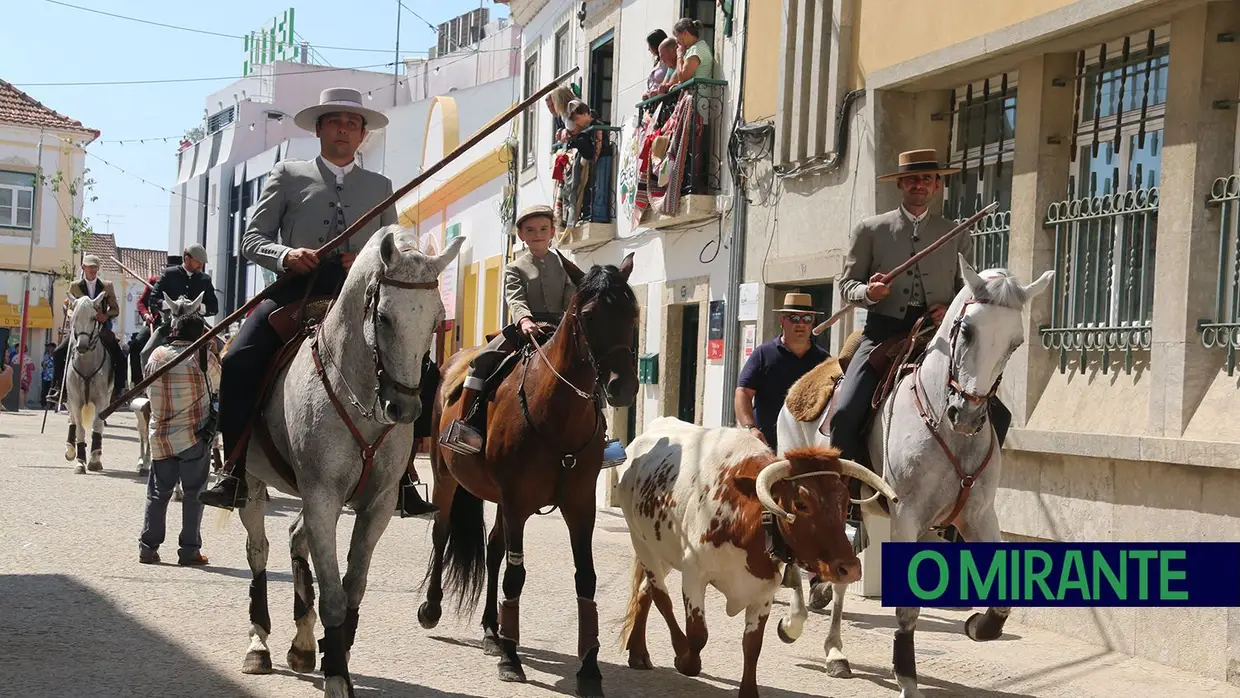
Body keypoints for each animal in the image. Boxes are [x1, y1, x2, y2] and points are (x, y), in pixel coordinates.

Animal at [64, 292, 116, 473]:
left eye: (94, 318)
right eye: (74, 318)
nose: (82, 346)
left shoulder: (102, 401)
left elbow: (97, 426)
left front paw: (94, 459)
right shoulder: (75, 401)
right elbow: (79, 429)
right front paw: (80, 461)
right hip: (69, 401)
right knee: (72, 421)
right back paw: (70, 450)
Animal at [234, 226, 463, 694]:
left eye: (436, 320)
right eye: (385, 318)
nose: (403, 409)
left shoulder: (377, 504)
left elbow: (353, 586)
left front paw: (333, 651)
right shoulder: (322, 497)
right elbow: (335, 596)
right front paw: (337, 674)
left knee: (295, 538)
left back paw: (303, 643)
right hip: (251, 481)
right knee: (258, 551)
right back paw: (259, 643)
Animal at [421, 252, 644, 698]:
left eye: (632, 313)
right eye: (589, 315)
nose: (622, 387)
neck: (556, 414)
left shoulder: (579, 506)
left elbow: (586, 580)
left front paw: (589, 669)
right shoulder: (517, 502)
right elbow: (515, 575)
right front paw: (511, 659)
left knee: (491, 548)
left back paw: (492, 631)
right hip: (446, 478)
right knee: (442, 532)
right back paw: (433, 608)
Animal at [615, 419, 897, 694]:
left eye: (845, 501)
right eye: (801, 504)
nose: (850, 568)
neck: (747, 519)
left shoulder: (763, 592)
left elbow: (752, 645)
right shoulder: (694, 575)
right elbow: (697, 634)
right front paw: (684, 659)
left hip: (663, 550)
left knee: (645, 590)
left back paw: (638, 652)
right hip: (642, 543)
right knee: (660, 595)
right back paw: (664, 648)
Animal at [773, 256, 1046, 698]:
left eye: (1015, 343)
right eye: (967, 331)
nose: (967, 415)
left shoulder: (978, 515)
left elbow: (1003, 595)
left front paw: (979, 624)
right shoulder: (907, 516)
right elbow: (907, 607)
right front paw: (906, 675)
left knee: (843, 574)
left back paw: (835, 651)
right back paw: (795, 622)